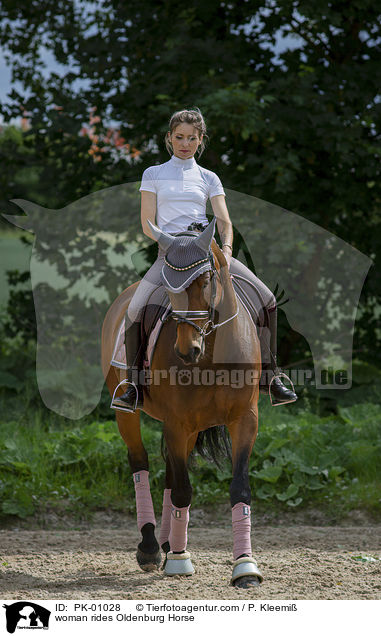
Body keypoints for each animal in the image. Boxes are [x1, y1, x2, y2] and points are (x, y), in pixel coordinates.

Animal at [99, 217, 262, 588]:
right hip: (130, 414)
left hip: (188, 430)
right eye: (170, 290)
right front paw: (179, 560)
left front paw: (245, 566)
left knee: (171, 474)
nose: (187, 350)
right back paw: (151, 548)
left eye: (206, 280)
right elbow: (184, 491)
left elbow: (239, 489)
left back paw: (167, 542)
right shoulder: (178, 421)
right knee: (140, 463)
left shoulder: (244, 420)